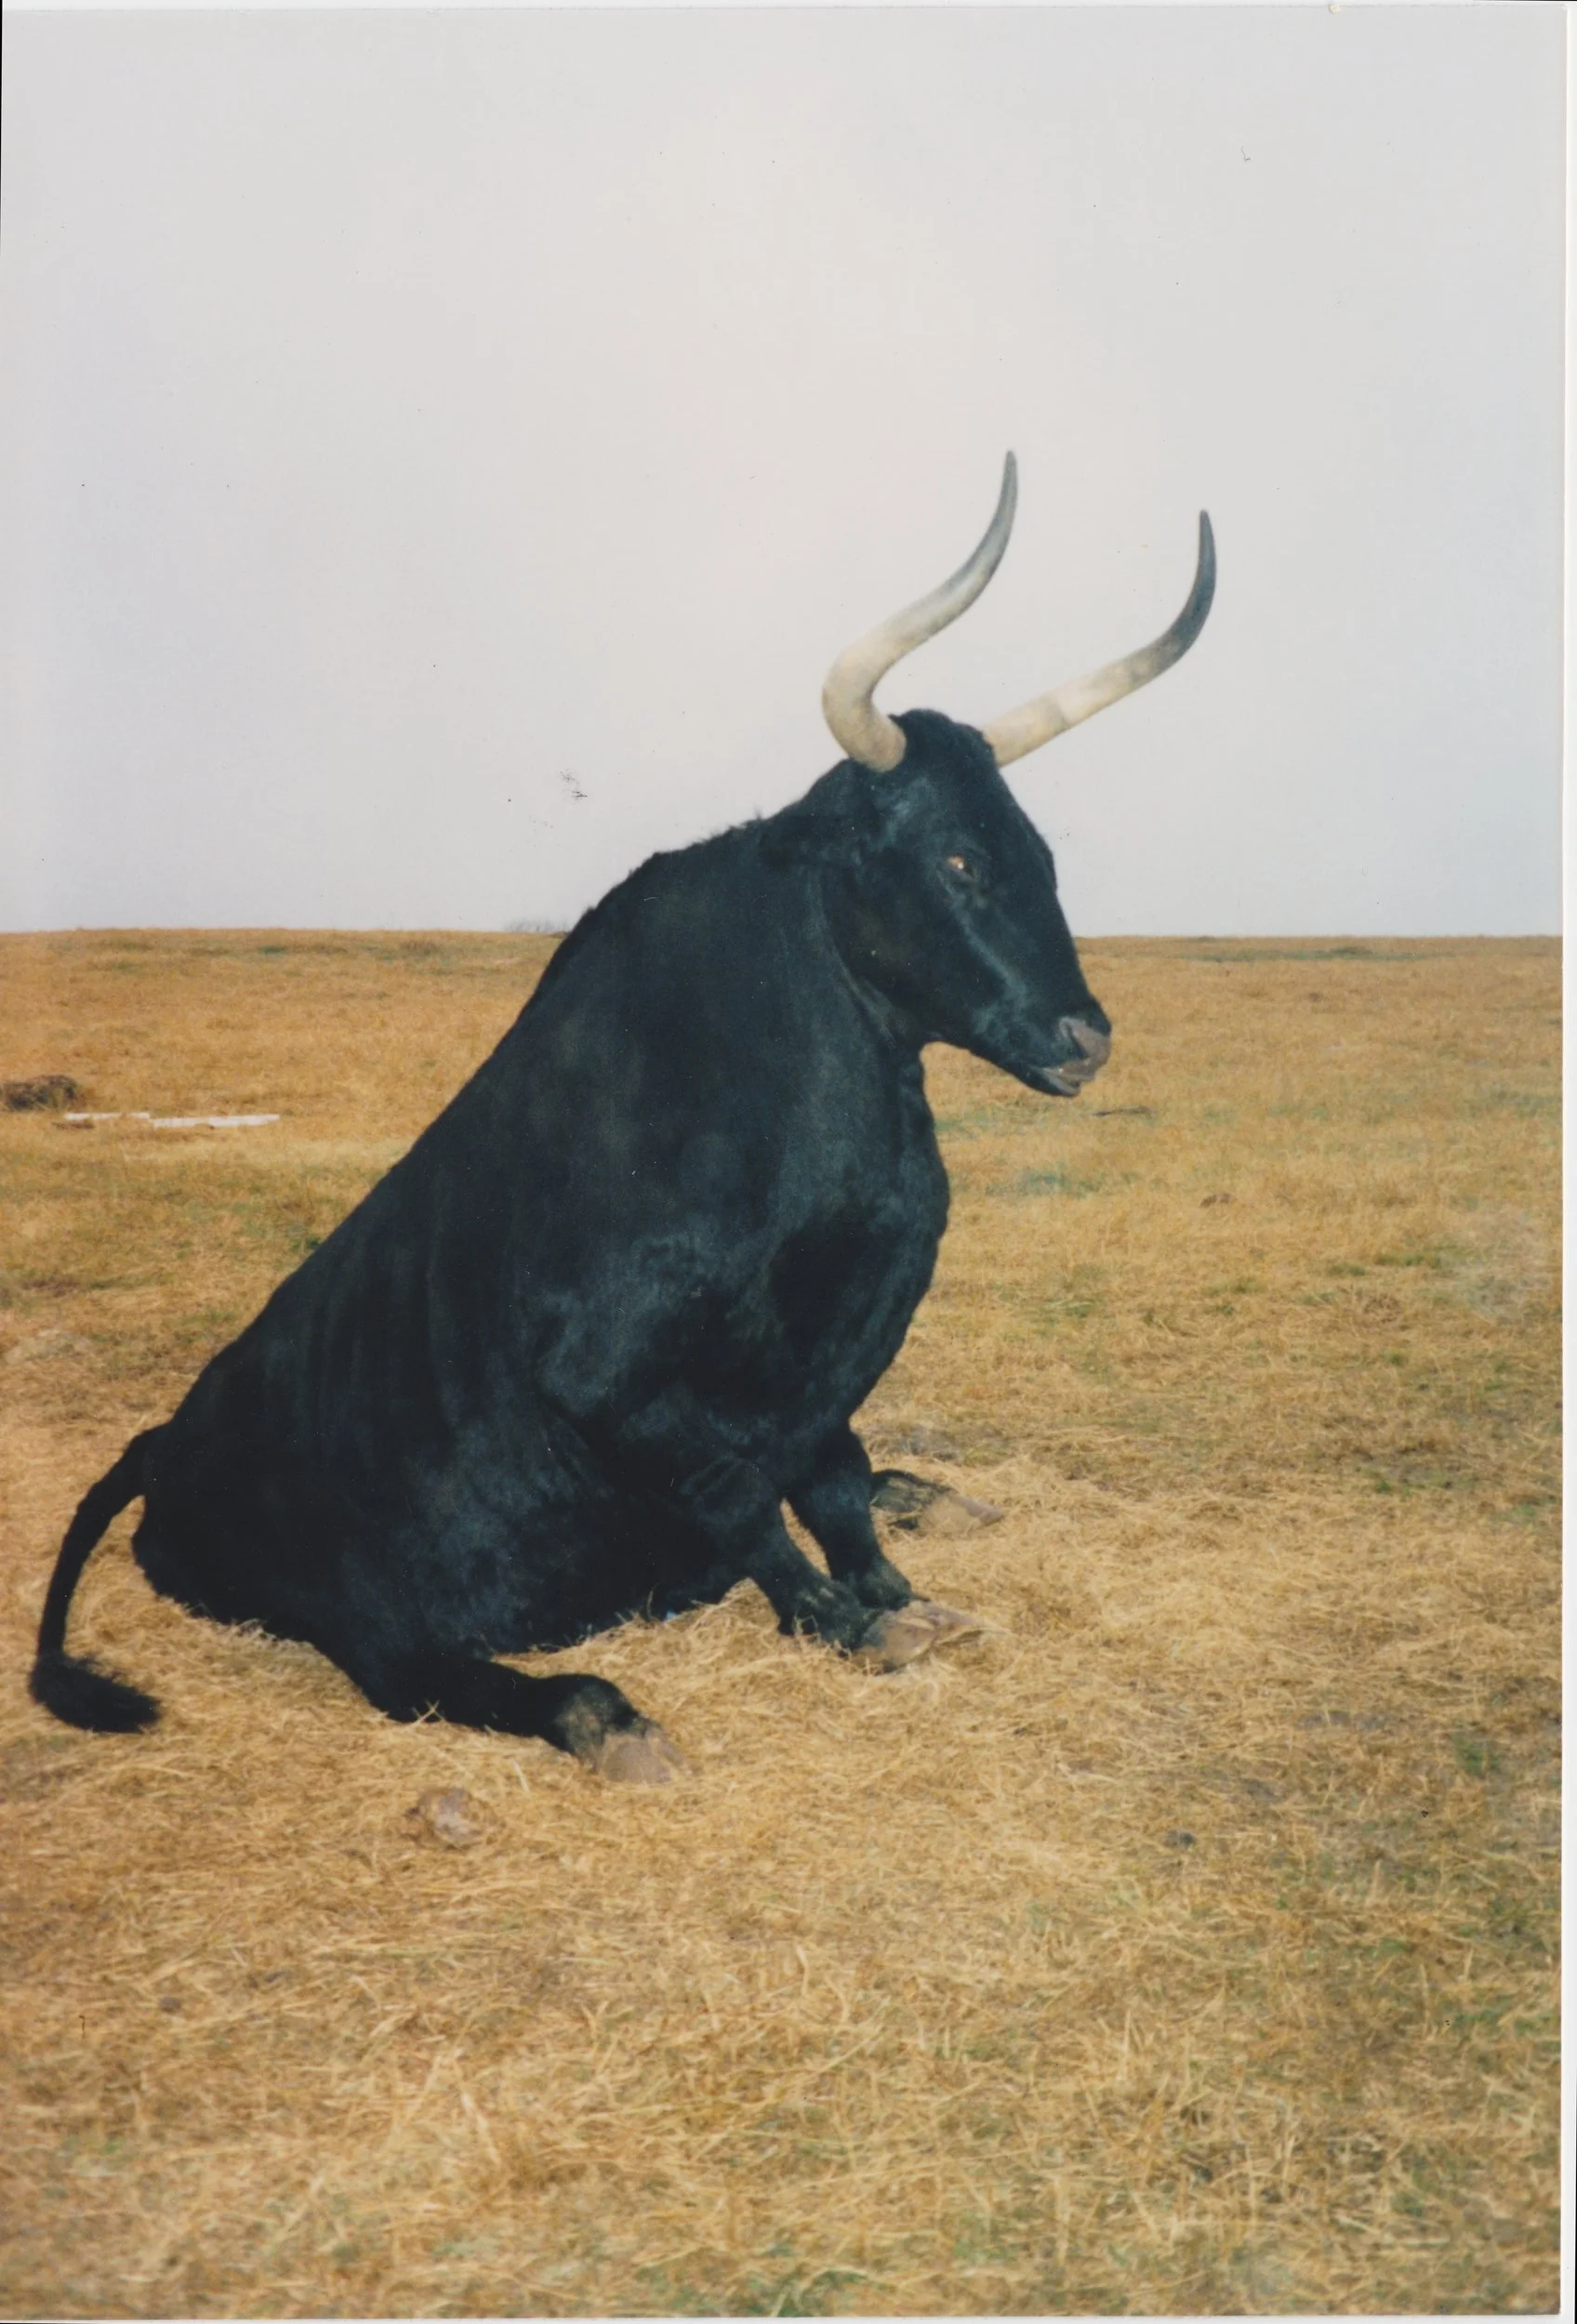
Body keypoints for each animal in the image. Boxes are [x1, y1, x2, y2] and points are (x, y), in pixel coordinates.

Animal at [31, 456, 1214, 1782]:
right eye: (956, 859)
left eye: (1038, 852)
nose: (1085, 1035)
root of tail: (170, 1439)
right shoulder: (606, 1377)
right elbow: (739, 1492)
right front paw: (845, 1618)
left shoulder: (822, 1373)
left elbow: (837, 1474)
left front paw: (900, 1592)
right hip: (339, 1598)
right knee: (406, 1669)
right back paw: (604, 1714)